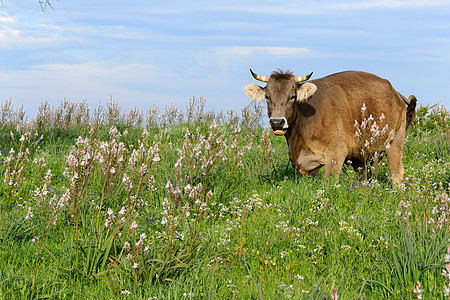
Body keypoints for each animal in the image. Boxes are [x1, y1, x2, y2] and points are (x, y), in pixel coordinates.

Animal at [244, 69, 416, 185]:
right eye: (267, 97)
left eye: (292, 96)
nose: (277, 122)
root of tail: (394, 92)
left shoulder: (336, 154)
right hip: (361, 157)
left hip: (394, 142)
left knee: (397, 173)